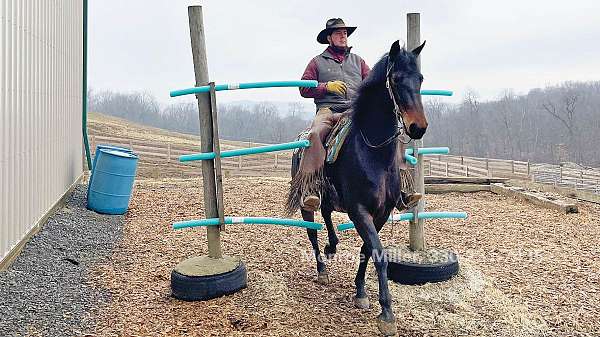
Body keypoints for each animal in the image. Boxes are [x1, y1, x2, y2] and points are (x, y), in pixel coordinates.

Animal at [290, 40, 426, 334]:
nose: (418, 127)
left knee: (327, 215)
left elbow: (367, 251)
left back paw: (332, 246)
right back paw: (322, 269)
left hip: (333, 199)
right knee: (312, 231)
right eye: (396, 79)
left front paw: (361, 292)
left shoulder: (381, 213)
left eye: (420, 78)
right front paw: (386, 313)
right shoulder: (359, 210)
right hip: (308, 202)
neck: (373, 152)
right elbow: (378, 254)